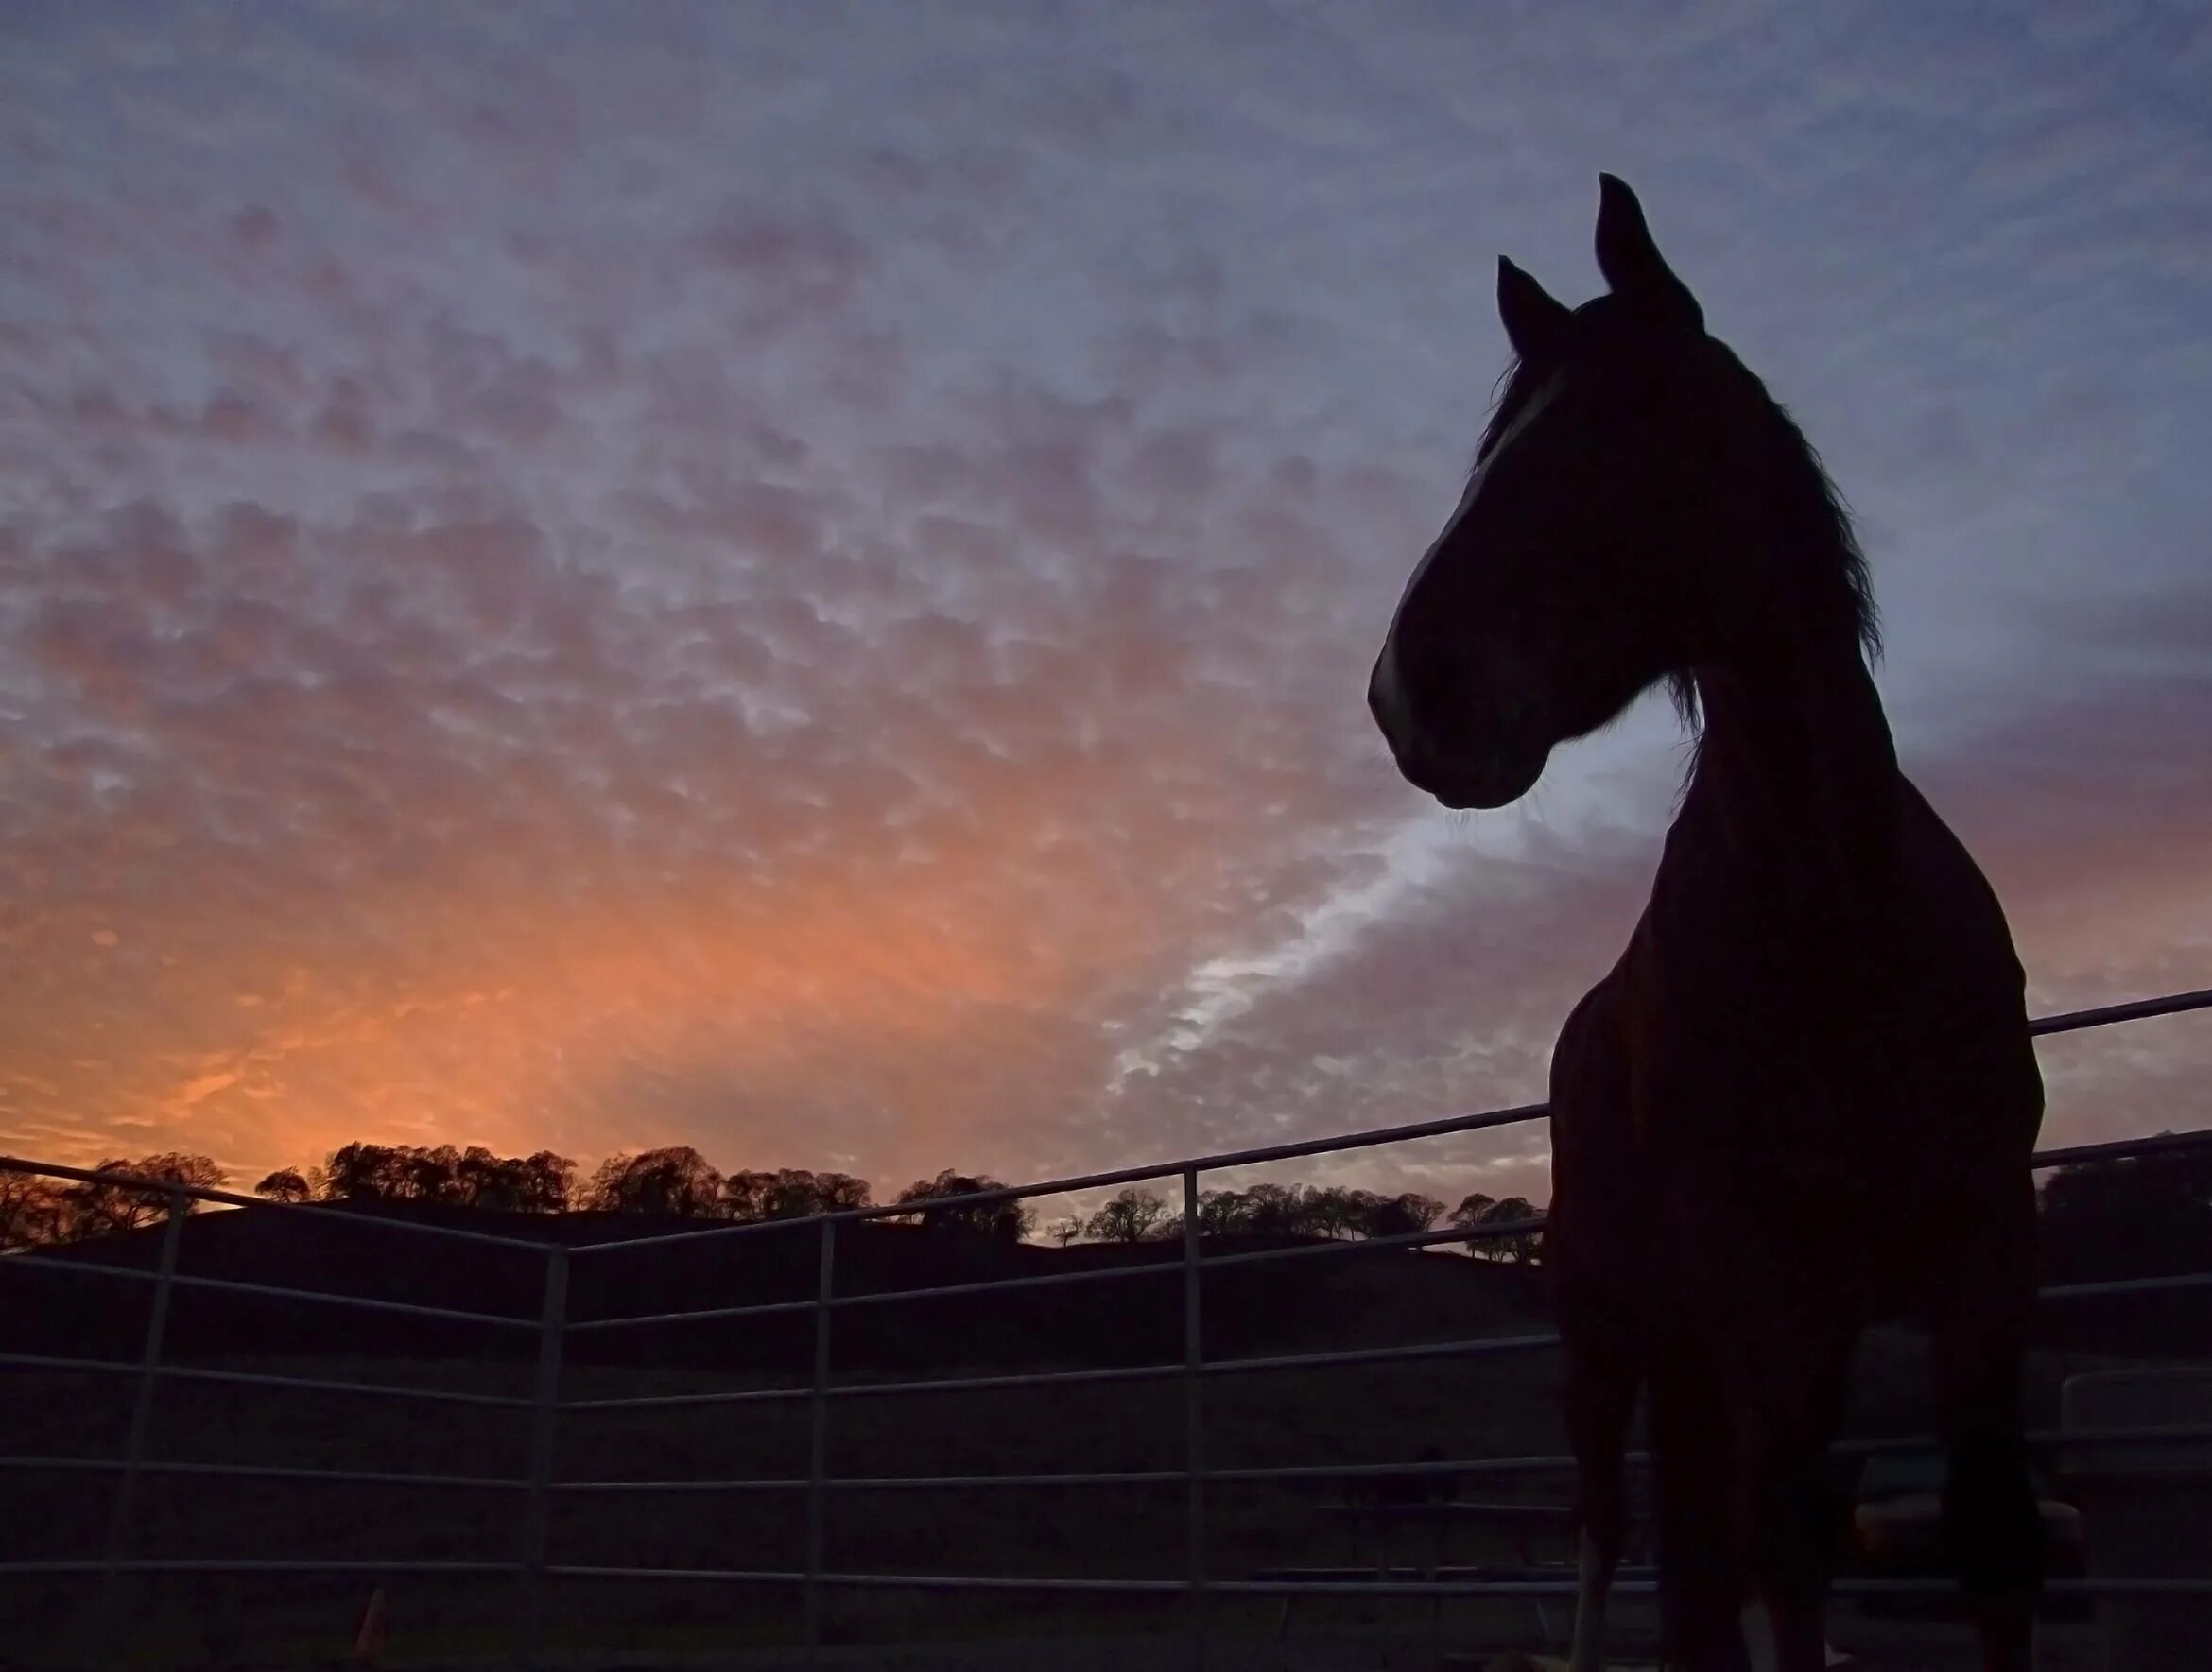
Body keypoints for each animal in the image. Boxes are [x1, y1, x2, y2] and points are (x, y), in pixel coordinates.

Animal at [1371, 176, 2044, 1663]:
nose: (1407, 693)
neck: (1844, 918)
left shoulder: (1982, 1275)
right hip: (1609, 1339)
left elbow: (1981, 1552)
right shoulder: (1763, 1305)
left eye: (1632, 415)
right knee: (1612, 1535)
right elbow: (1774, 1565)